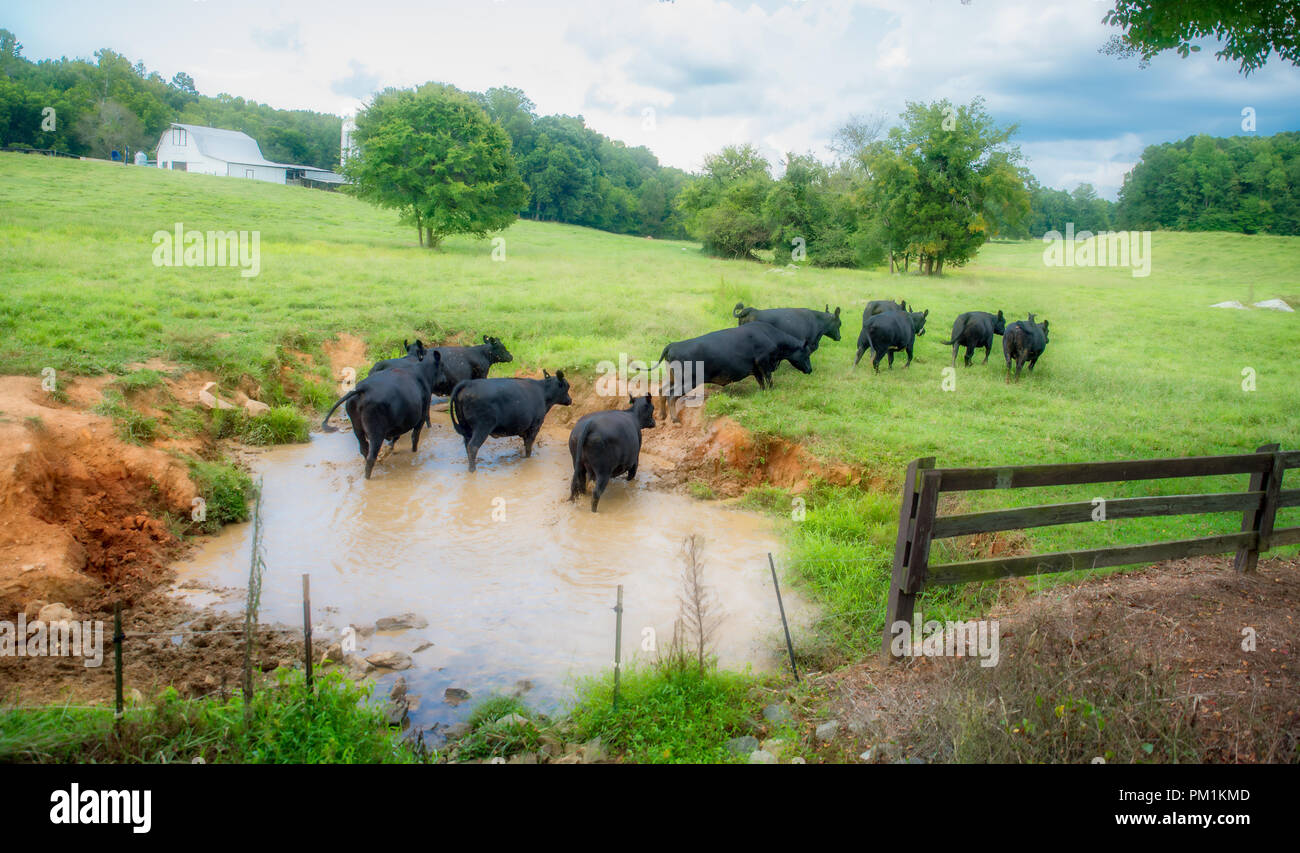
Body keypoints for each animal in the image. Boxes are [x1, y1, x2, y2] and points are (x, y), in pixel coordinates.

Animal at [321, 346, 442, 479]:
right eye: (441, 365)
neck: (423, 372)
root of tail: (363, 388)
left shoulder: (398, 424)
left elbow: (395, 438)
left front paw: (389, 449)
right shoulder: (421, 417)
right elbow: (415, 438)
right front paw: (413, 452)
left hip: (358, 429)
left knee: (364, 449)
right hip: (376, 432)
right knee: (371, 457)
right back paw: (369, 476)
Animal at [653, 323, 812, 423]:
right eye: (806, 353)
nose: (810, 369)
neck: (770, 336)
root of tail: (673, 345)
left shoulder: (756, 369)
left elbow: (761, 382)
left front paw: (763, 393)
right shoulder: (764, 363)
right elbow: (769, 380)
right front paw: (771, 392)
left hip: (673, 378)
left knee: (662, 390)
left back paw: (662, 415)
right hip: (687, 381)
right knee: (671, 395)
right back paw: (674, 419)